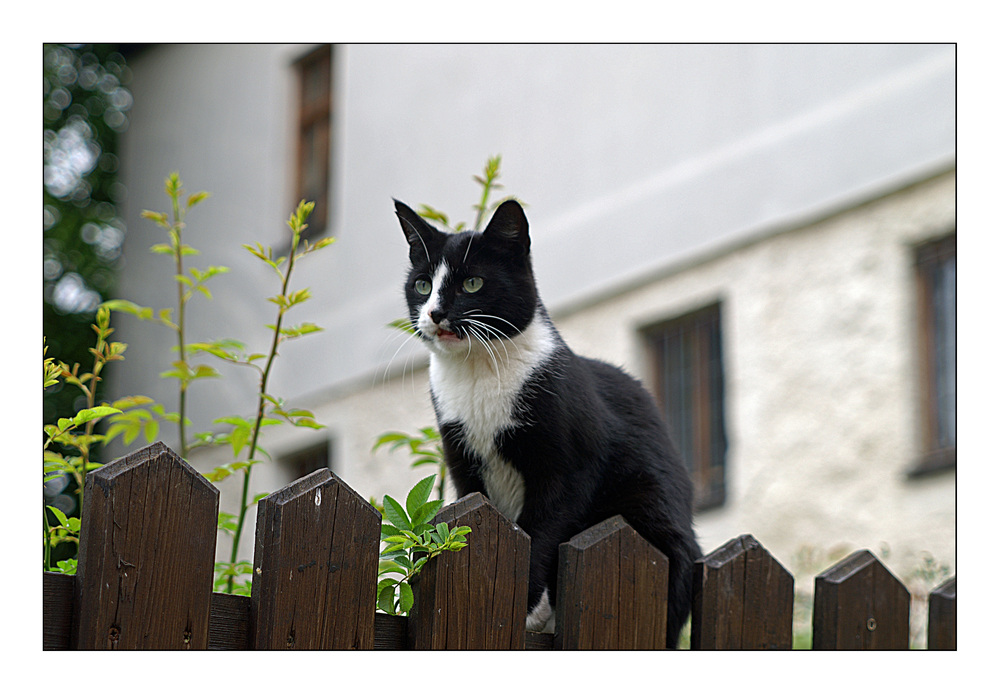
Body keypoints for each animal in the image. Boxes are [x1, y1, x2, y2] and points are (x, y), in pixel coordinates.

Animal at [394, 196, 700, 648]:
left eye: (472, 284)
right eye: (421, 285)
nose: (434, 313)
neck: (478, 373)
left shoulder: (570, 465)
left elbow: (543, 526)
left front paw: (525, 608)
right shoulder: (461, 459)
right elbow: (478, 508)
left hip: (653, 512)